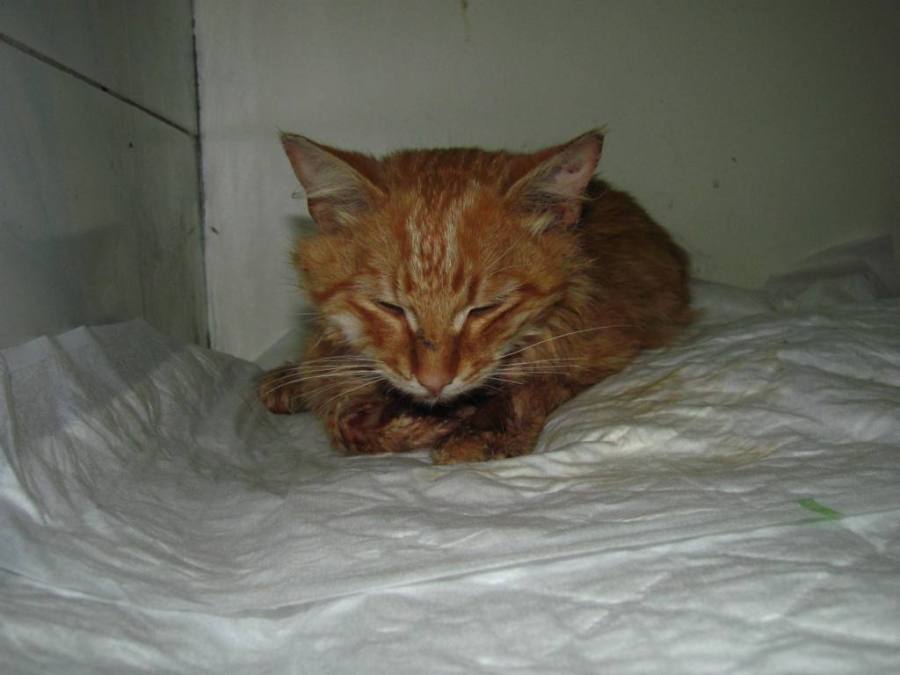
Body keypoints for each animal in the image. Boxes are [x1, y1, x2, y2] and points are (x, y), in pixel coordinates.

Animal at [259, 130, 692, 464]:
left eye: (485, 309)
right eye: (390, 307)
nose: (434, 383)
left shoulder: (607, 349)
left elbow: (532, 389)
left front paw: (478, 433)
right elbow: (342, 414)